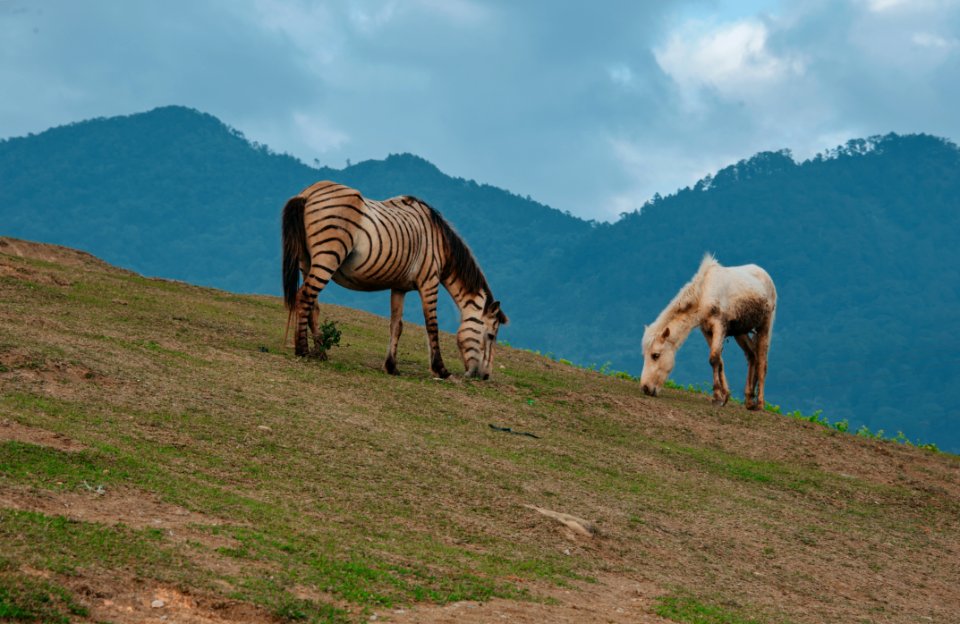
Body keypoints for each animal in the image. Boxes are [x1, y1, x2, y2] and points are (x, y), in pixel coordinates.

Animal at [284, 178, 510, 378]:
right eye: (491, 336)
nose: (485, 376)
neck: (440, 244)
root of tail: (308, 192)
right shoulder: (430, 282)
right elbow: (432, 325)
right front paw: (440, 370)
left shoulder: (399, 287)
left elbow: (396, 325)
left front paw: (391, 366)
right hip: (328, 256)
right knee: (304, 297)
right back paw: (302, 349)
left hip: (307, 261)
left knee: (312, 304)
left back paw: (320, 352)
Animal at [640, 254, 776, 410]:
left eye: (655, 355)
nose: (645, 388)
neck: (704, 295)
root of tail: (765, 275)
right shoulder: (706, 330)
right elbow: (719, 360)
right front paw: (725, 395)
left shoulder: (719, 326)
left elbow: (714, 358)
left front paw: (717, 397)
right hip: (740, 332)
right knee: (752, 355)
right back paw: (749, 401)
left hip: (764, 326)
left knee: (762, 363)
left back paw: (759, 403)